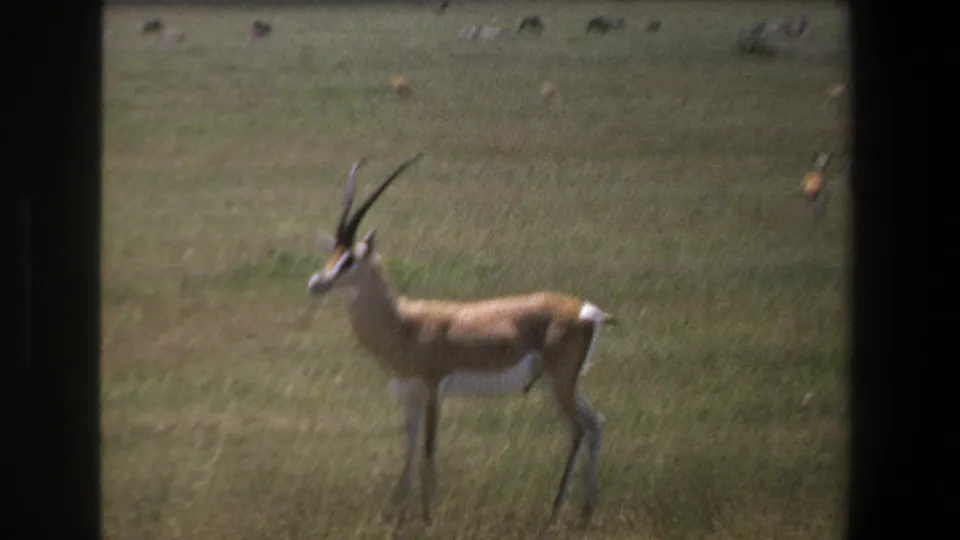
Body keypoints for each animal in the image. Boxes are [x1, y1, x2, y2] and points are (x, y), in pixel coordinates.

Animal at [306, 155, 617, 526]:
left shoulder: (433, 389)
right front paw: (402, 516)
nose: (316, 283)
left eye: (349, 258)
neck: (404, 323)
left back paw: (555, 510)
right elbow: (408, 450)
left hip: (560, 383)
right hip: (564, 382)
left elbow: (428, 448)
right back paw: (586, 511)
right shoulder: (408, 394)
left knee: (580, 430)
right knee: (596, 425)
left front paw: (427, 517)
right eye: (333, 252)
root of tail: (589, 311)